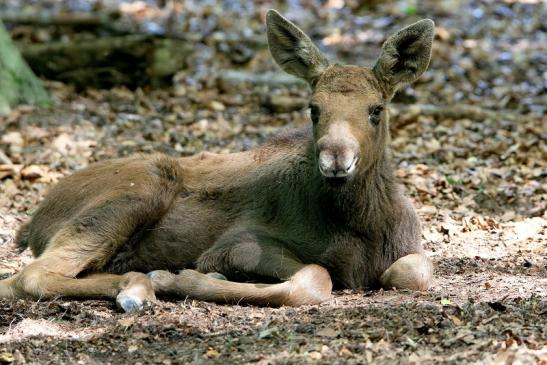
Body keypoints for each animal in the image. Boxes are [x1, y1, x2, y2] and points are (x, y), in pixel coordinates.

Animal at [0, 12, 436, 312]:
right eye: (314, 109)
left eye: (376, 109)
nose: (336, 160)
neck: (363, 227)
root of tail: (32, 224)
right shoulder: (237, 243)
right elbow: (317, 276)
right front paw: (181, 278)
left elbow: (416, 271)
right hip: (140, 187)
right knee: (28, 275)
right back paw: (138, 286)